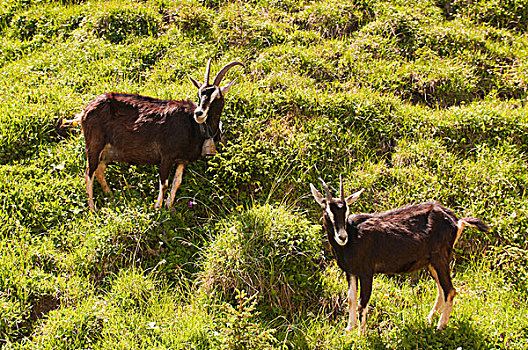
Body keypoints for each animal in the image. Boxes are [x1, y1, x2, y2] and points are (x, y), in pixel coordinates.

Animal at [69, 60, 244, 211]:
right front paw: (157, 208)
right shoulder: (166, 155)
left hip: (107, 151)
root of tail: (85, 110)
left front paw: (169, 206)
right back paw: (93, 208)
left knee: (99, 171)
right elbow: (164, 182)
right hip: (94, 144)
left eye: (217, 96)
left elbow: (176, 182)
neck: (195, 126)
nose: (199, 113)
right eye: (199, 94)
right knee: (89, 172)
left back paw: (110, 195)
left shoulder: (182, 160)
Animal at [310, 178, 490, 334]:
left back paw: (440, 326)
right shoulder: (351, 272)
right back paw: (430, 319)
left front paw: (361, 334)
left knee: (450, 290)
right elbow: (351, 298)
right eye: (327, 212)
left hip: (441, 258)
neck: (353, 236)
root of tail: (457, 220)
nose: (342, 237)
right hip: (433, 262)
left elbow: (362, 302)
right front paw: (349, 328)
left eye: (346, 211)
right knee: (441, 289)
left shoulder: (367, 272)